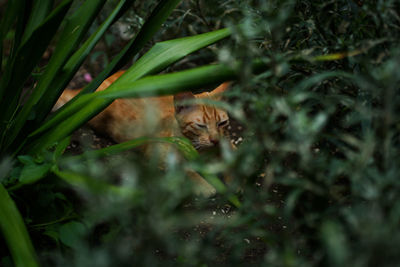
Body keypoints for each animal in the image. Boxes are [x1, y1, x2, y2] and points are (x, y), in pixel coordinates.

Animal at [54, 70, 233, 197]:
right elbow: (183, 168)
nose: (215, 140)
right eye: (201, 125)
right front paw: (204, 185)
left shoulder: (227, 143)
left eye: (222, 123)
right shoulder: (157, 153)